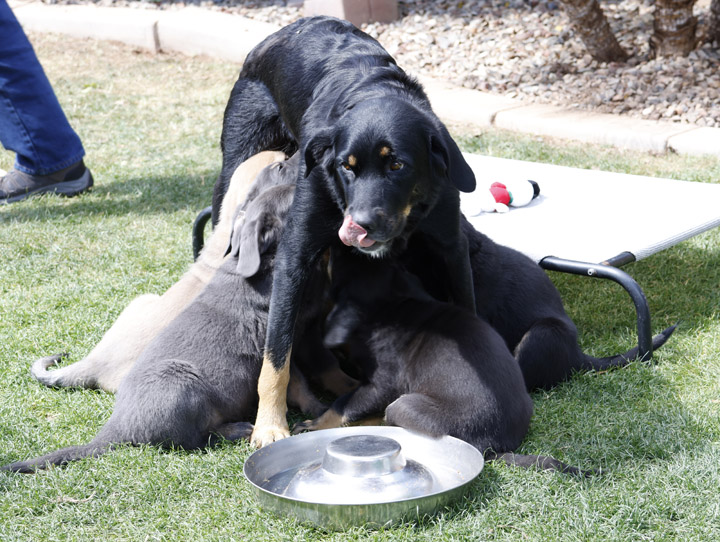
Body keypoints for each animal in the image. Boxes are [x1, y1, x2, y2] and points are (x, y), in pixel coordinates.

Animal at [217, 18, 480, 450]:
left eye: (397, 165)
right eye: (346, 167)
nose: (358, 225)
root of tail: (282, 31)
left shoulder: (450, 248)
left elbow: (468, 309)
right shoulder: (295, 255)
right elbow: (277, 356)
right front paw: (270, 424)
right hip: (237, 161)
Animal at [296, 251, 584, 476]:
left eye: (338, 265)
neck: (391, 305)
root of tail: (491, 446)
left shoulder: (379, 385)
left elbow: (343, 406)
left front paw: (314, 424)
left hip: (404, 405)